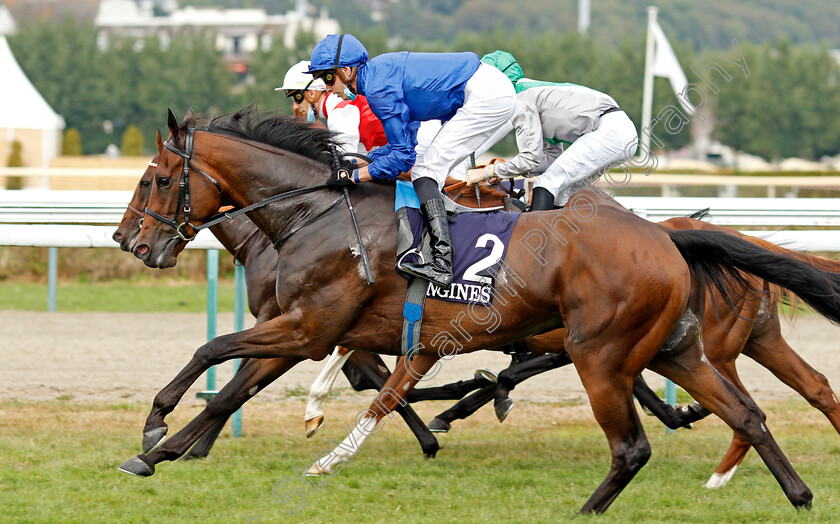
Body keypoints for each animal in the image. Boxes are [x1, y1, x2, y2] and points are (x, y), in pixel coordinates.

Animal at [118, 106, 840, 512]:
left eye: (156, 177)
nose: (132, 242)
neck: (314, 214)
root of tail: (665, 235)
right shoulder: (309, 330)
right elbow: (233, 387)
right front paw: (165, 451)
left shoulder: (307, 328)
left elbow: (214, 354)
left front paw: (155, 427)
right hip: (678, 348)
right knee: (751, 412)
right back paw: (798, 494)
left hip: (600, 353)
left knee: (632, 444)